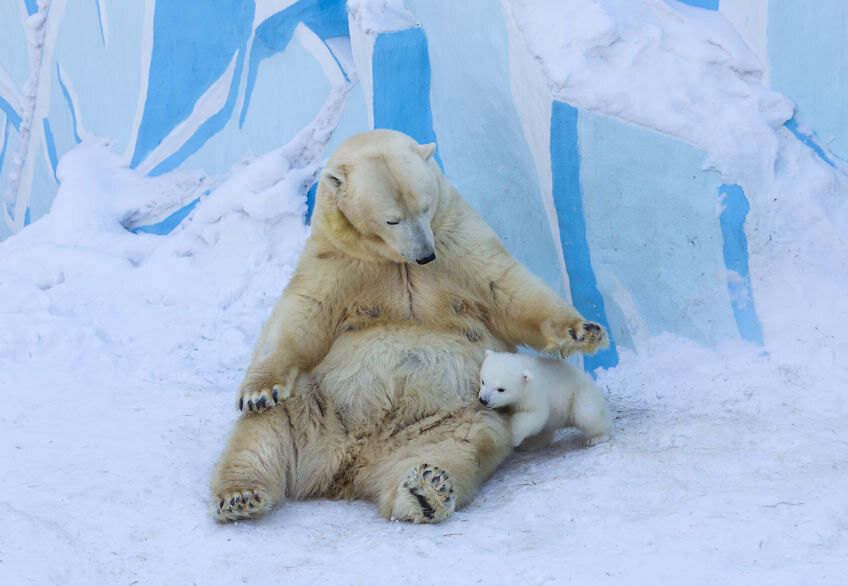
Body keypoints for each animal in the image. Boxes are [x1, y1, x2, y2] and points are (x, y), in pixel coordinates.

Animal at [480, 350, 612, 450]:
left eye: (501, 389)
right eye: (483, 381)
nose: (483, 400)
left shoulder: (534, 394)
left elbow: (536, 415)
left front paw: (513, 438)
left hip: (582, 394)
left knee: (587, 414)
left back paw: (596, 437)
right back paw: (532, 444)